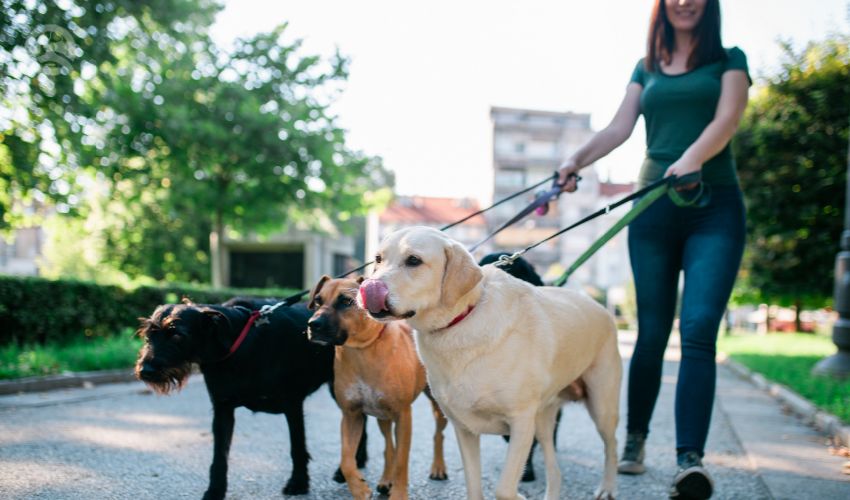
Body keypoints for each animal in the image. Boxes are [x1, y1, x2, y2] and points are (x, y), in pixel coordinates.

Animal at [135, 298, 364, 498]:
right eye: (148, 335)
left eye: (177, 335)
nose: (145, 371)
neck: (237, 345)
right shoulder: (223, 409)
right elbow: (219, 456)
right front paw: (215, 491)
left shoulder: (293, 405)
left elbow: (297, 447)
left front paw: (298, 483)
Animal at [306, 276, 450, 498]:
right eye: (318, 301)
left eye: (346, 301)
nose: (313, 324)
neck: (362, 350)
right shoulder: (351, 415)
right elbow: (346, 460)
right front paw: (360, 489)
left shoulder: (403, 415)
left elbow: (402, 461)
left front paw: (399, 494)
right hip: (383, 416)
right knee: (388, 447)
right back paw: (385, 480)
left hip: (436, 407)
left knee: (437, 435)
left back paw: (438, 468)